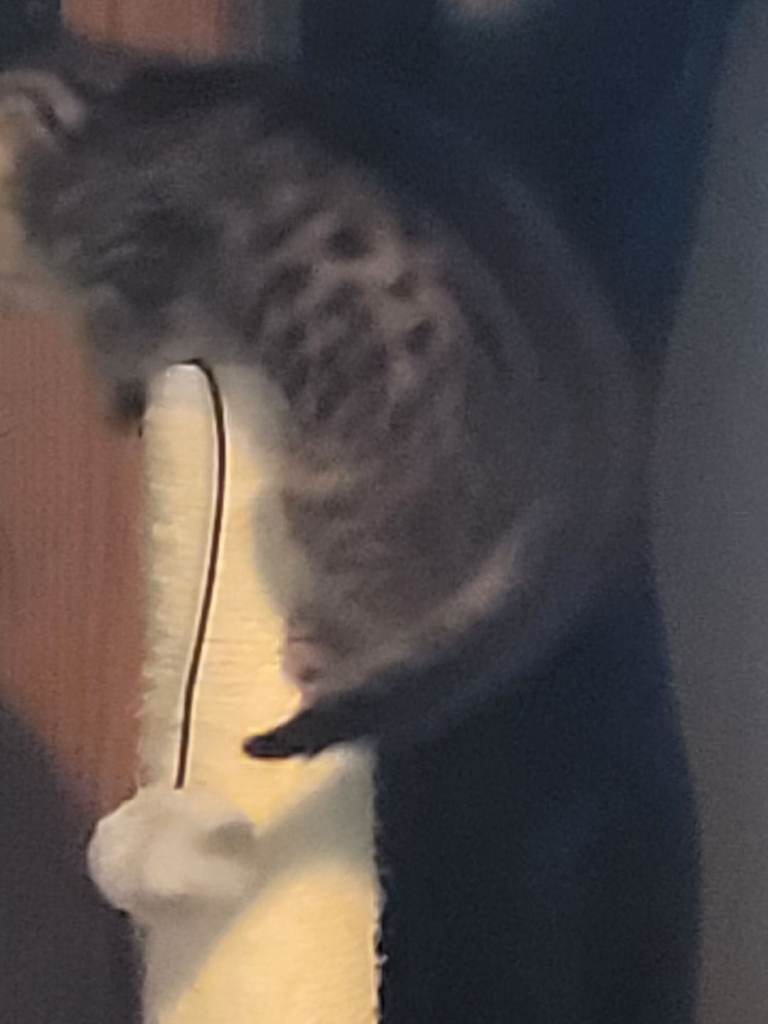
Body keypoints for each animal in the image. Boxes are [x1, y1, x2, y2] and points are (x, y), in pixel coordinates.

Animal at [0, 44, 643, 759]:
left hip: (325, 509)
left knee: (387, 622)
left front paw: (119, 396)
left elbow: (128, 338)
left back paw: (323, 657)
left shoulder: (149, 275)